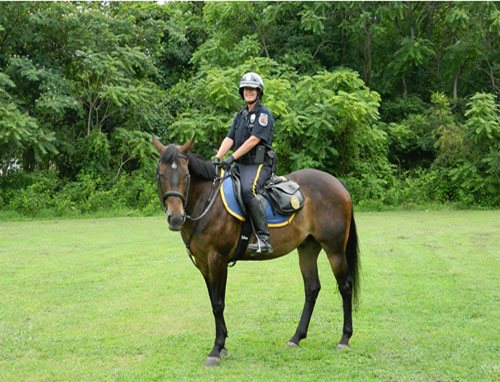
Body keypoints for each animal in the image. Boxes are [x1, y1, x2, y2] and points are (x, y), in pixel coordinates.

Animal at [152, 137, 360, 368]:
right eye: (161, 175)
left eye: (186, 175)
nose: (175, 218)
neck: (206, 201)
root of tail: (337, 183)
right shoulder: (204, 264)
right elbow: (213, 301)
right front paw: (222, 345)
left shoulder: (217, 260)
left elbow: (218, 303)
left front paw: (216, 349)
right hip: (308, 249)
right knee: (312, 288)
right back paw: (296, 337)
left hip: (335, 250)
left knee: (345, 286)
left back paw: (344, 339)